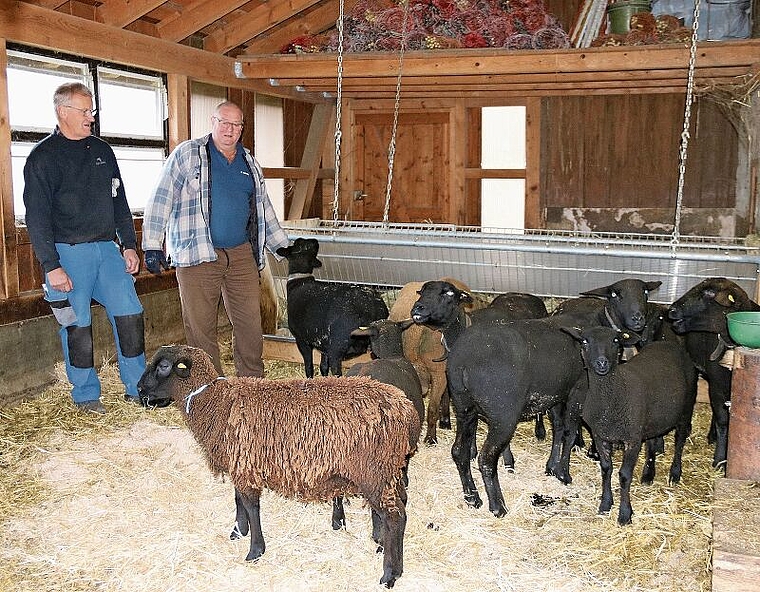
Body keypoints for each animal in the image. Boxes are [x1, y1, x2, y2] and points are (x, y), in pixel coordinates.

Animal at [137, 342, 422, 588]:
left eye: (164, 366)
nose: (139, 390)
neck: (216, 402)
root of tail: (405, 408)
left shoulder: (245, 464)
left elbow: (251, 506)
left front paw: (255, 550)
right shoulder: (241, 463)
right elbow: (238, 500)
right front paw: (238, 531)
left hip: (374, 470)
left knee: (395, 516)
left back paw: (390, 573)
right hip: (387, 471)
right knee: (398, 506)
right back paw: (382, 546)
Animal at [276, 238, 388, 376]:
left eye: (299, 242)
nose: (315, 240)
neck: (299, 280)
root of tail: (370, 309)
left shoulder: (301, 340)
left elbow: (309, 366)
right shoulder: (323, 342)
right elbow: (323, 365)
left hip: (337, 347)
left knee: (336, 371)